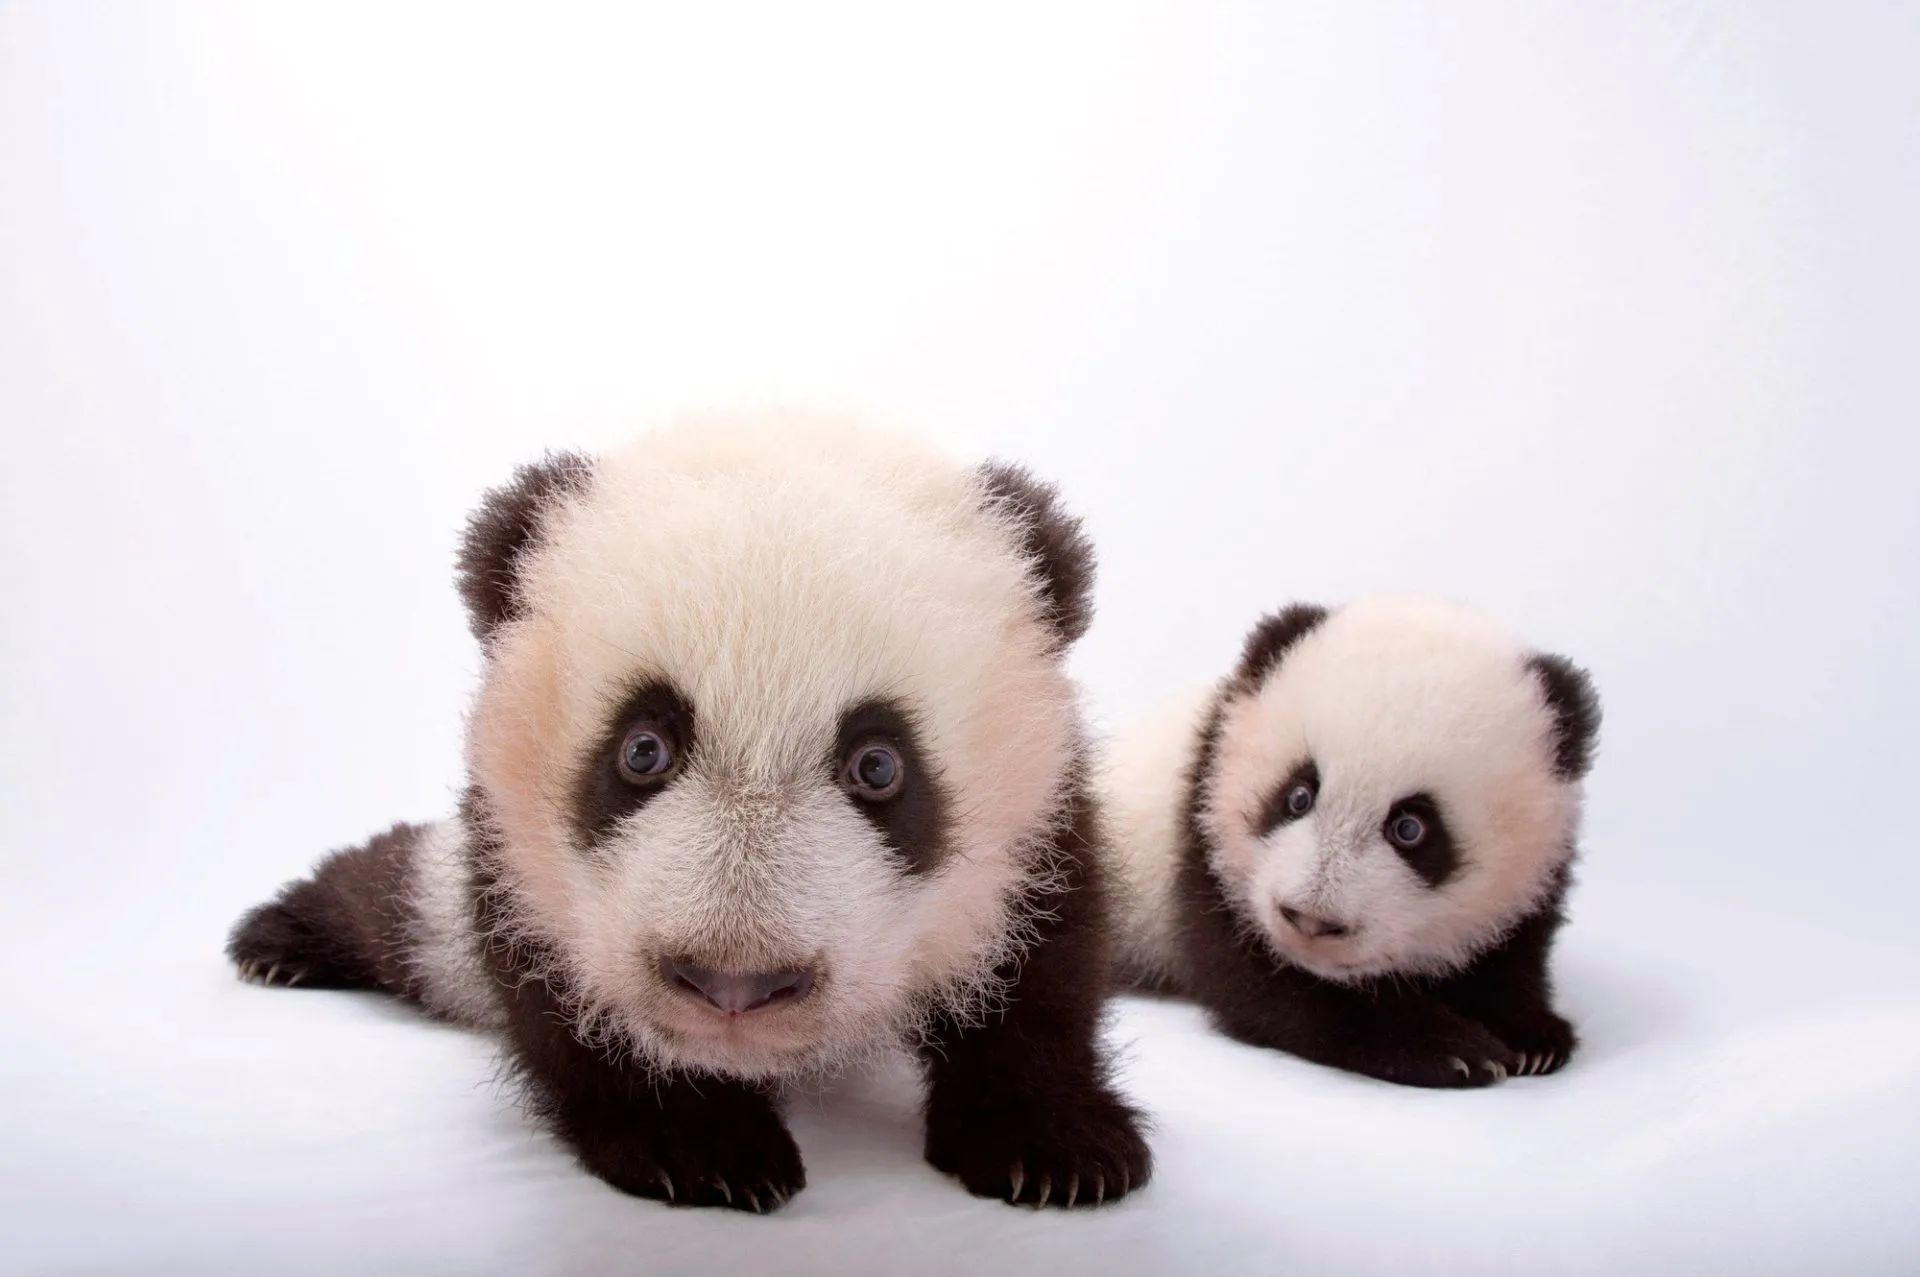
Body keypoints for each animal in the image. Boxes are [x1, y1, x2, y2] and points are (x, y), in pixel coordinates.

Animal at [227, 410, 1150, 1211]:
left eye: (879, 765)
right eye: (642, 749)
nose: (734, 986)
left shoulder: (1033, 830)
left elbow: (1043, 969)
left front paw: (1053, 1147)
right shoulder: (516, 856)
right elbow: (569, 996)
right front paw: (704, 1146)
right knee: (408, 906)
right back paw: (282, 938)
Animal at [1101, 597, 1601, 1087]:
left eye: (1411, 828)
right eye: (1298, 796)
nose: (1310, 920)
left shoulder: (1536, 865)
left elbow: (1510, 952)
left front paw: (1532, 1037)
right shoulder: (1207, 839)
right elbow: (1266, 983)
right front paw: (1452, 1049)